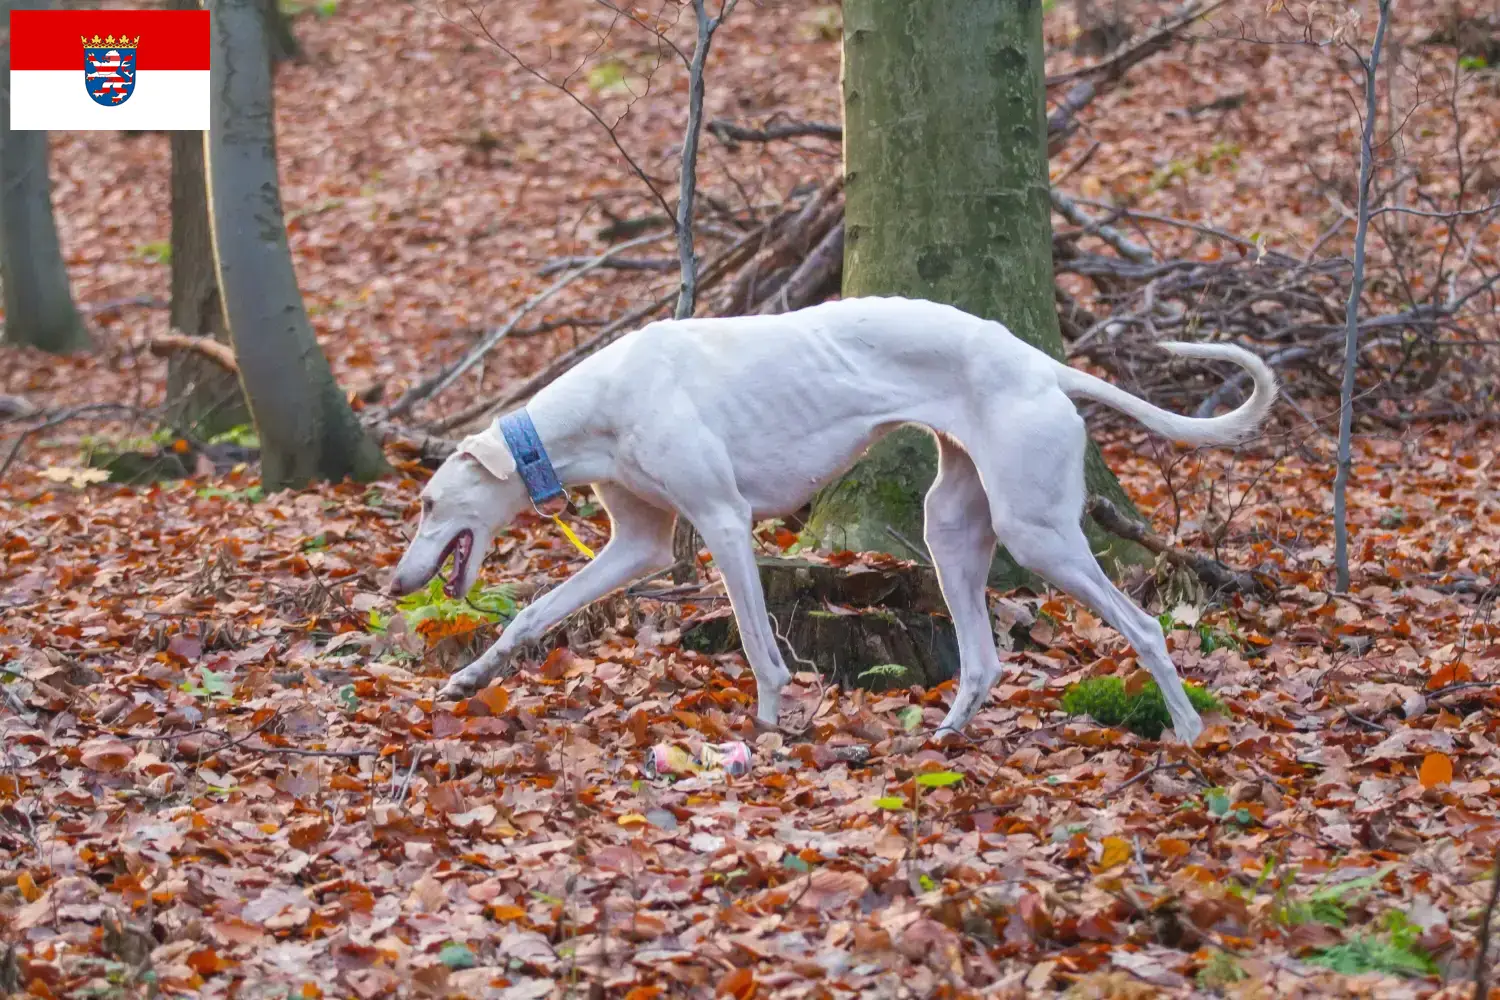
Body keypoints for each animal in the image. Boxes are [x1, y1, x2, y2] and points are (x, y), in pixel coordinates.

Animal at [381, 296, 1272, 743]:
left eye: (427, 504)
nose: (395, 585)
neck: (602, 404)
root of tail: (1037, 359)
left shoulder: (723, 521)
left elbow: (757, 646)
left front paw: (769, 727)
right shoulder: (637, 544)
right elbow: (532, 611)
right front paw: (469, 677)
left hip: (1038, 532)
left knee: (1144, 626)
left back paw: (1188, 728)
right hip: (953, 528)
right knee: (984, 660)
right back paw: (942, 737)